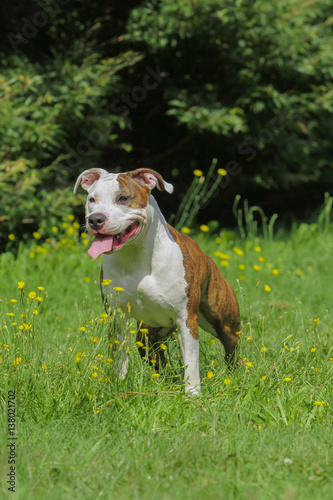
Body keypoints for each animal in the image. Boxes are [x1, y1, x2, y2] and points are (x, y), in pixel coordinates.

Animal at [73, 168, 239, 394]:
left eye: (123, 198)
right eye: (92, 199)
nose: (95, 219)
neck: (135, 256)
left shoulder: (185, 318)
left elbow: (191, 361)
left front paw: (193, 394)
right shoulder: (118, 316)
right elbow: (120, 356)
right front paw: (119, 384)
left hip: (223, 321)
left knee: (232, 347)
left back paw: (236, 376)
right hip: (149, 335)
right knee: (156, 357)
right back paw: (166, 380)